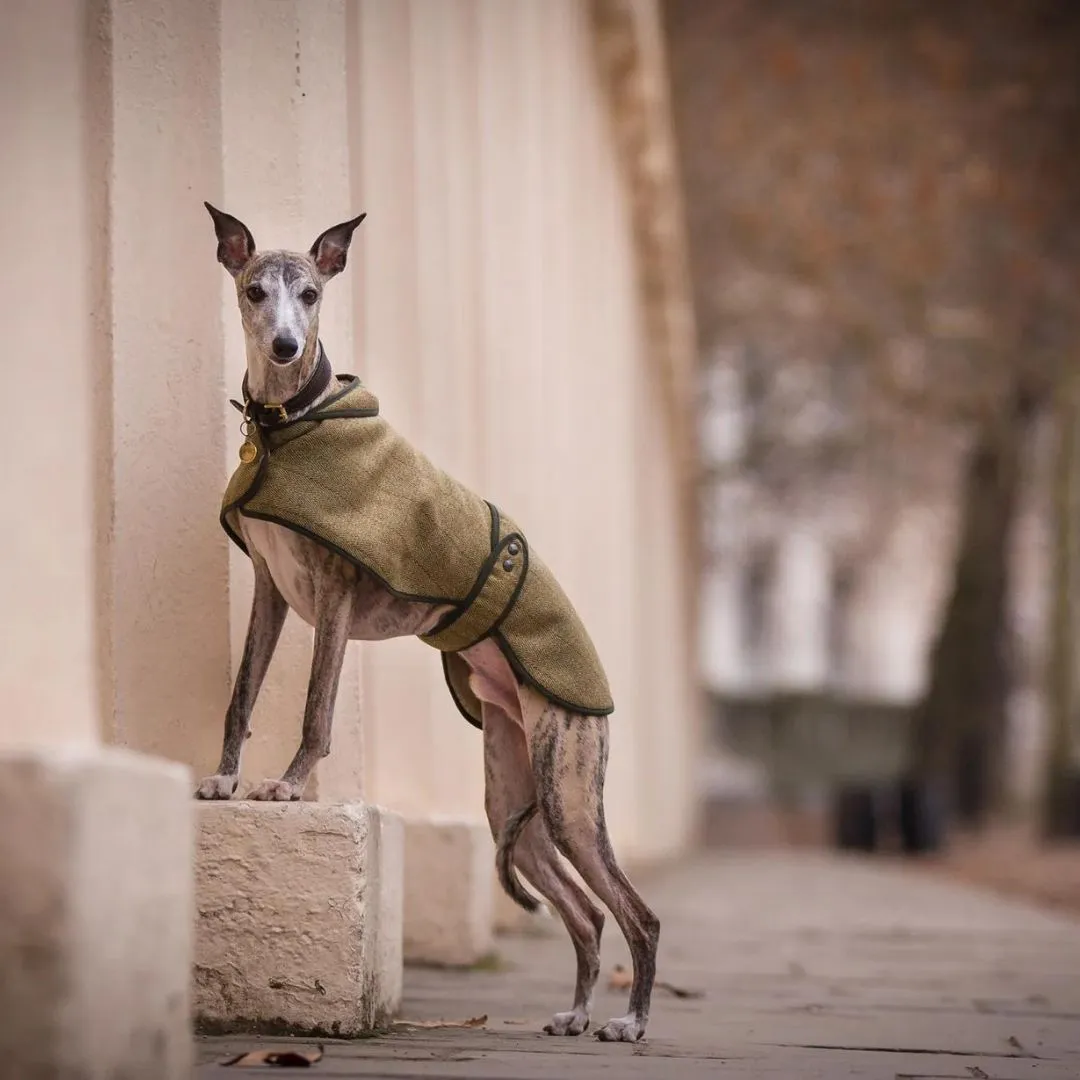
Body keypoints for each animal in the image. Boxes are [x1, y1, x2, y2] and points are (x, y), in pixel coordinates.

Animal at [198, 206, 660, 1041]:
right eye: (254, 291)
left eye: (311, 294)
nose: (284, 345)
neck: (293, 423)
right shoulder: (270, 592)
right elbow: (241, 694)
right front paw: (223, 779)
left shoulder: (335, 599)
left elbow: (315, 711)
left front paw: (287, 786)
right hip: (515, 800)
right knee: (584, 914)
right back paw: (577, 1013)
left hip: (571, 796)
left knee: (637, 914)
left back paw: (630, 1022)